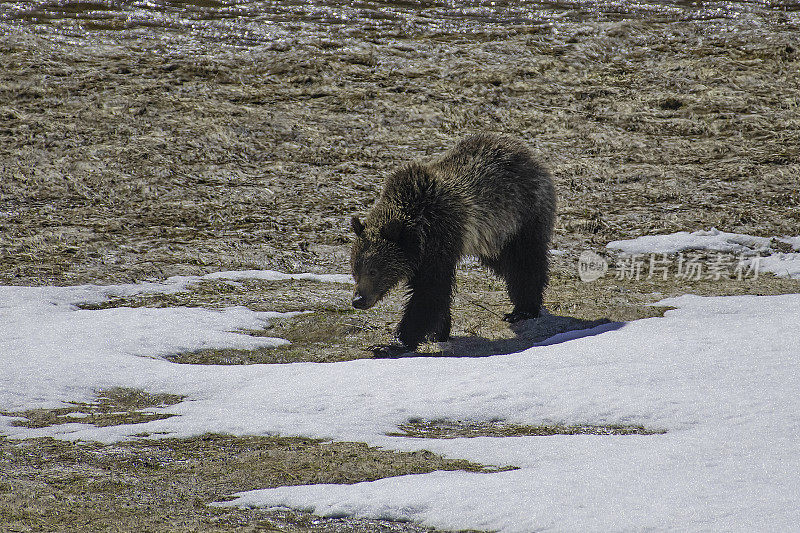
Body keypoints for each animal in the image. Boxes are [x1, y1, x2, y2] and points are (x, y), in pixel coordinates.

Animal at [350, 132, 556, 350]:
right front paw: (438, 332)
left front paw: (394, 342)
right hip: (493, 237)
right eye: (355, 270)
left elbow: (430, 292)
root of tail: (527, 151)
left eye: (373, 271)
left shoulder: (440, 239)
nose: (358, 300)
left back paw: (523, 310)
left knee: (524, 261)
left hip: (522, 215)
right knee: (505, 264)